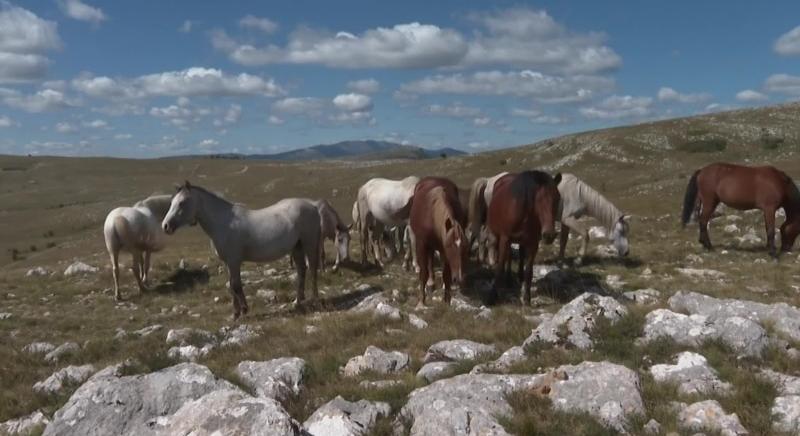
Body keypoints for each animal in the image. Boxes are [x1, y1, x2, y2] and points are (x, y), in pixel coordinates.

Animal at [162, 181, 322, 320]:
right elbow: (231, 285)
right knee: (301, 270)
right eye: (171, 202)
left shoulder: (234, 261)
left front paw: (241, 311)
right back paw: (297, 301)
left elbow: (235, 285)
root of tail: (313, 206)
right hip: (296, 247)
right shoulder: (228, 262)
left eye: (182, 202)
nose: (165, 226)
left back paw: (314, 299)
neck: (223, 222)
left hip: (309, 244)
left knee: (312, 268)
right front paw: (237, 312)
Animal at [412, 175, 468, 304]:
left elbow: (446, 275)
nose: (458, 278)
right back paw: (430, 283)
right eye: (450, 245)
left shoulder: (443, 249)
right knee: (429, 262)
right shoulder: (422, 244)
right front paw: (421, 300)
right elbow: (423, 273)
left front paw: (447, 300)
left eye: (465, 247)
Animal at [488, 169, 564, 304]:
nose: (549, 235)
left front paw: (527, 298)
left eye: (558, 198)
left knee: (521, 254)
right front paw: (492, 296)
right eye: (539, 199)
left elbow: (529, 271)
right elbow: (500, 266)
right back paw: (508, 279)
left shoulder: (533, 243)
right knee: (508, 256)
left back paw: (519, 277)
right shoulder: (505, 238)